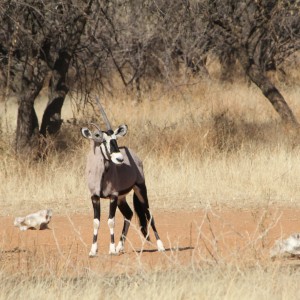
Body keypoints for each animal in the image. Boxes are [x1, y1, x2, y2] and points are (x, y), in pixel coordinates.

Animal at [80, 98, 164, 255]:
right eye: (102, 141)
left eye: (115, 139)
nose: (119, 158)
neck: (102, 174)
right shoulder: (95, 197)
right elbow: (96, 222)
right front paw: (93, 250)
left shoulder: (113, 196)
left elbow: (111, 221)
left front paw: (111, 249)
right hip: (121, 198)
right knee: (129, 214)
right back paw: (121, 246)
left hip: (140, 189)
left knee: (148, 214)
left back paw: (160, 245)